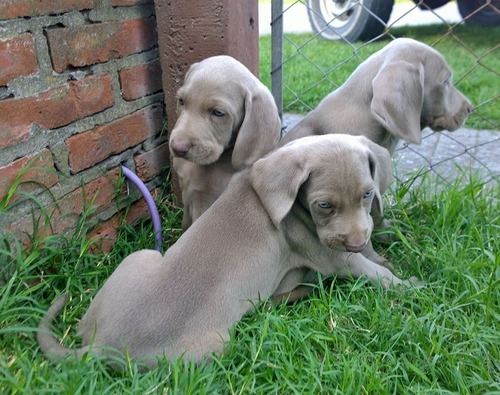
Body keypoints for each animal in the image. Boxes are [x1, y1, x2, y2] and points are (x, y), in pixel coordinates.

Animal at [38, 135, 418, 370]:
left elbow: (371, 256)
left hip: (139, 259)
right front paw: (407, 286)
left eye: (367, 195)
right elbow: (368, 268)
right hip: (216, 345)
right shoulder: (326, 252)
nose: (354, 240)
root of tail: (102, 345)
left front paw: (386, 256)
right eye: (324, 205)